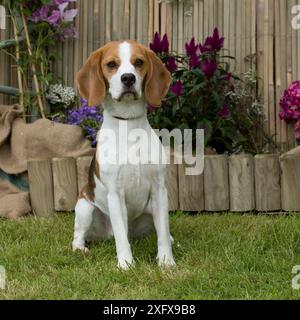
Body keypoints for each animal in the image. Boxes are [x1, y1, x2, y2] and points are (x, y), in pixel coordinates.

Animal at [72, 40, 175, 270]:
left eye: (139, 62)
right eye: (111, 64)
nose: (128, 78)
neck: (128, 125)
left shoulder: (160, 190)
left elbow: (163, 233)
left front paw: (166, 261)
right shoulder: (115, 194)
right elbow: (121, 237)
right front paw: (126, 264)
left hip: (150, 210)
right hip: (84, 206)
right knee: (80, 235)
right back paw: (80, 249)